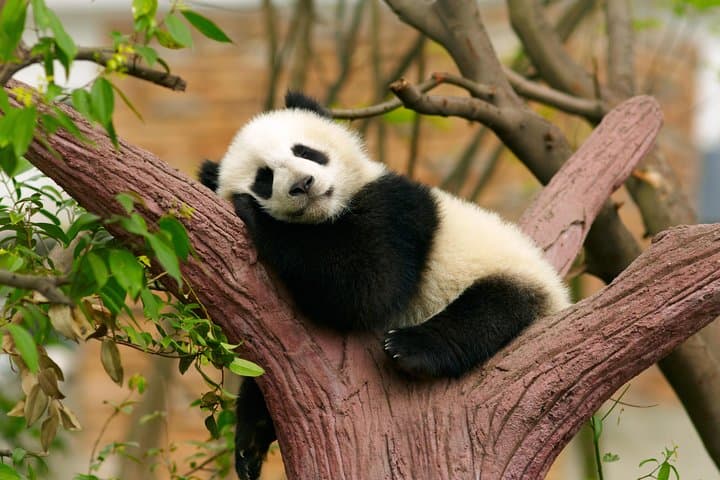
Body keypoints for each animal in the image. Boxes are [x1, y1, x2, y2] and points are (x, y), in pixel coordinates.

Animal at [199, 92, 569, 480]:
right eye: (264, 178)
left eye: (305, 151)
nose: (303, 184)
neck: (327, 215)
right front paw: (250, 439)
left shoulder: (396, 209)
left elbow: (367, 287)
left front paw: (255, 215)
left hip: (509, 273)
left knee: (488, 311)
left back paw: (410, 347)